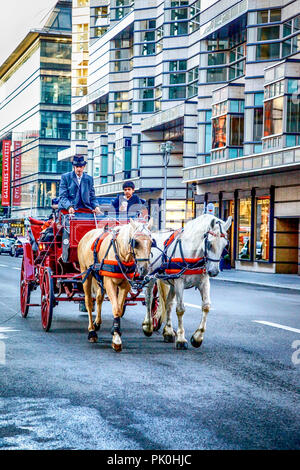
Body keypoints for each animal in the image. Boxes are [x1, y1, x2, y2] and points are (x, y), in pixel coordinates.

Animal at [78, 218, 152, 350]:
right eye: (135, 242)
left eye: (151, 242)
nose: (144, 270)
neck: (121, 255)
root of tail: (88, 234)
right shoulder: (109, 283)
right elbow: (116, 308)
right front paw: (116, 338)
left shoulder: (125, 285)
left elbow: (119, 307)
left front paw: (115, 332)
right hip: (86, 273)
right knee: (88, 302)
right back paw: (92, 331)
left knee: (99, 298)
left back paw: (97, 323)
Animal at [143, 215, 232, 350]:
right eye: (209, 244)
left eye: (225, 245)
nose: (214, 271)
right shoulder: (180, 283)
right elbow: (180, 309)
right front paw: (181, 339)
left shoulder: (203, 282)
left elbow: (206, 306)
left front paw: (197, 337)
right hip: (151, 277)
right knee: (149, 298)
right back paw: (148, 326)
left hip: (172, 282)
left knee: (168, 303)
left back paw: (168, 331)